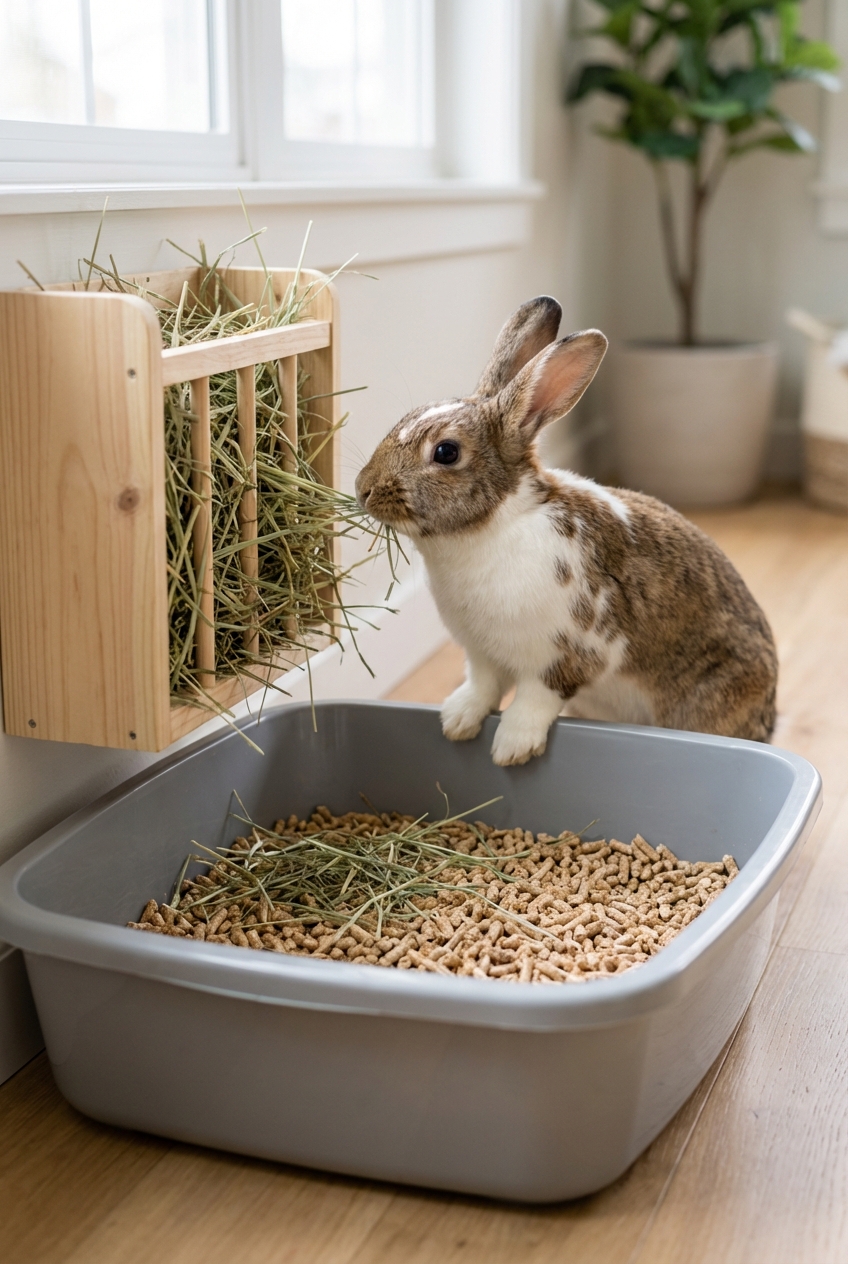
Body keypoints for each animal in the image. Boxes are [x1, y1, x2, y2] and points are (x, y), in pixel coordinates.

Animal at [355, 296, 778, 766]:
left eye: (446, 452)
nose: (362, 489)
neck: (494, 525)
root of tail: (768, 718)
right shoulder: (481, 655)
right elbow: (482, 687)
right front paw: (457, 722)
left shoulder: (571, 652)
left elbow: (535, 699)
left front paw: (511, 749)